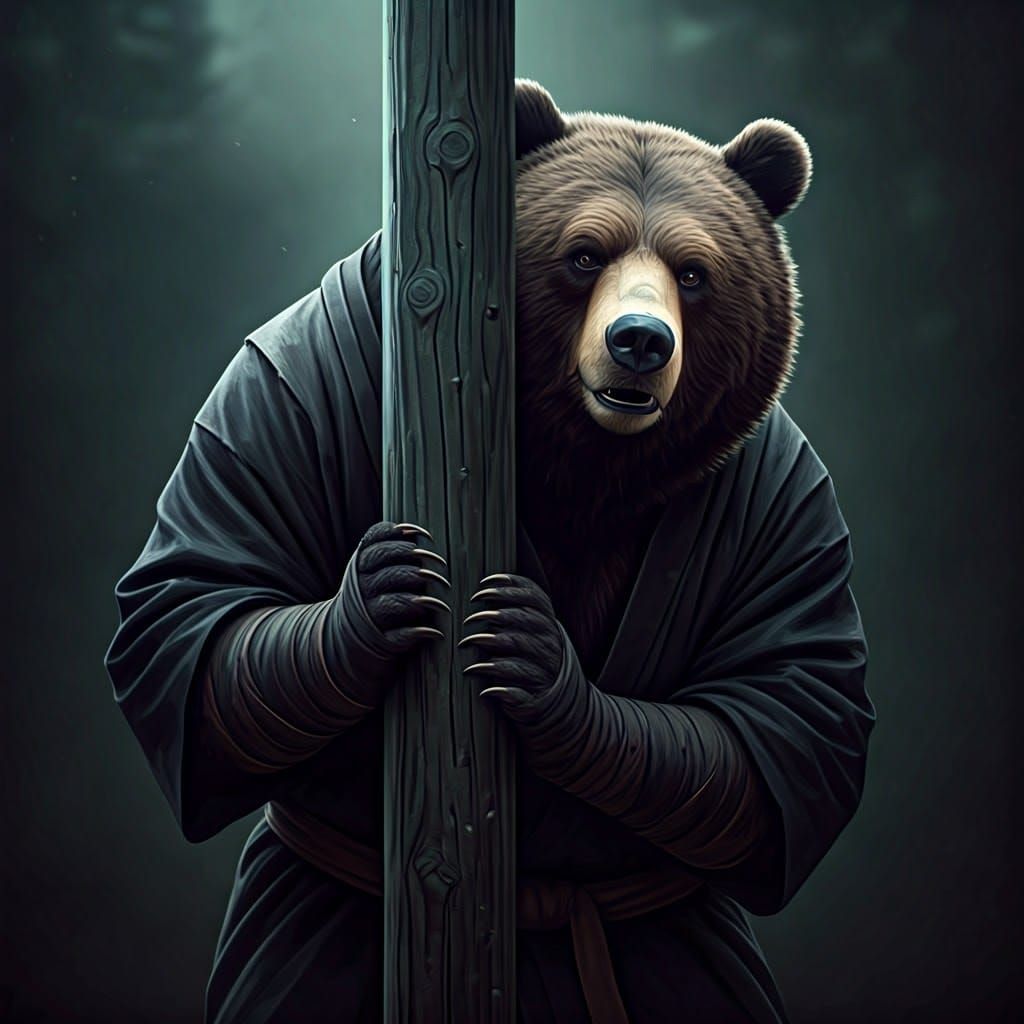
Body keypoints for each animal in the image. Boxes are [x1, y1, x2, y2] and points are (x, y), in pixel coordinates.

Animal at [106, 79, 873, 1024]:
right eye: (584, 253)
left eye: (693, 272)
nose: (639, 341)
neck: (578, 465)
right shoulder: (294, 393)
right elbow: (200, 614)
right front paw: (389, 587)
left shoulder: (779, 506)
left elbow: (781, 721)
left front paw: (528, 648)